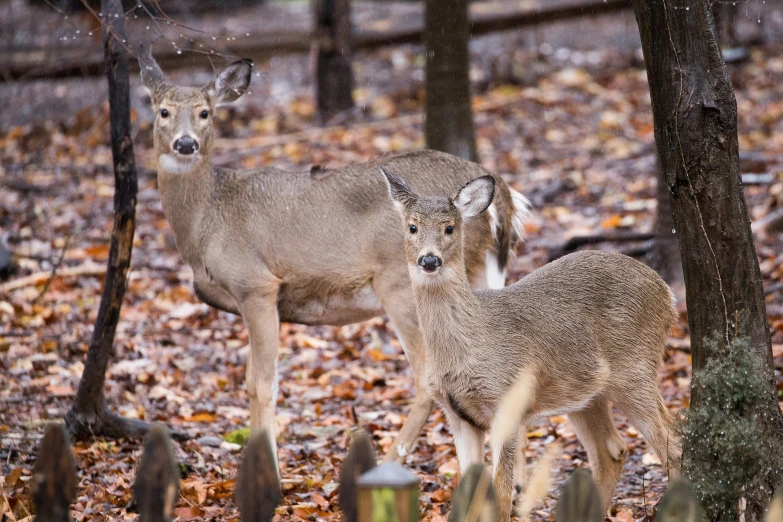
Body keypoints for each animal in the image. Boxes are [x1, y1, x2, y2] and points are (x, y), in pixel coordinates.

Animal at [136, 46, 532, 462]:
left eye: (205, 112)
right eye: (163, 111)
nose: (185, 144)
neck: (207, 219)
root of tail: (503, 197)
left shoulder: (256, 284)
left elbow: (261, 384)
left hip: (402, 282)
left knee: (426, 379)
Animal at [382, 168, 684, 520]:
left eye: (450, 227)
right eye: (412, 226)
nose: (429, 260)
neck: (469, 344)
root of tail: (668, 295)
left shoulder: (508, 400)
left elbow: (500, 491)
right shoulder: (457, 416)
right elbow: (468, 491)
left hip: (636, 369)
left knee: (672, 445)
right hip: (585, 394)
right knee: (612, 450)